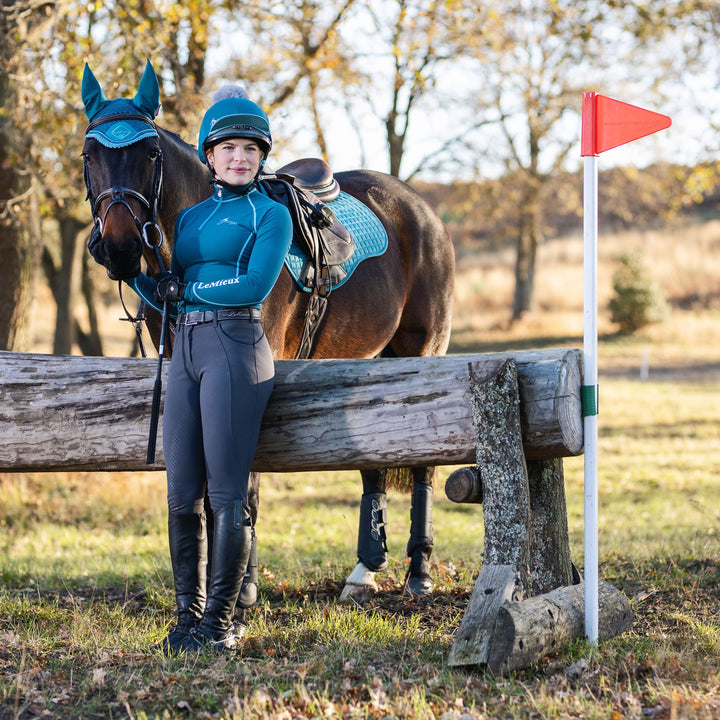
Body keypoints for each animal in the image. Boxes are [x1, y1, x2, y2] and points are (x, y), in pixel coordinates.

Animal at [81, 60, 452, 600]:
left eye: (150, 153)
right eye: (89, 155)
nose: (120, 246)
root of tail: (420, 209)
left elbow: (246, 477)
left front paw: (243, 587)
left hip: (424, 351)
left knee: (424, 461)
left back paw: (419, 571)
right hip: (365, 361)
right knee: (373, 460)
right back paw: (365, 569)